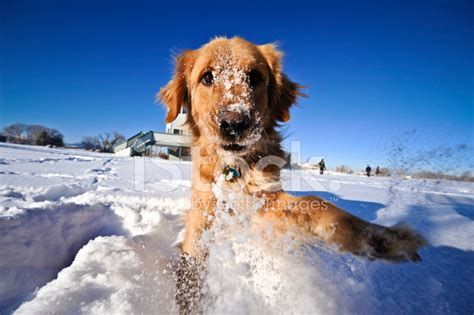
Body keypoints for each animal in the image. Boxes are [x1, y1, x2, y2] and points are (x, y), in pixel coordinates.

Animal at [158, 36, 426, 314]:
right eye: (207, 77)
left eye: (254, 76)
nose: (234, 124)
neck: (234, 169)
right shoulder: (200, 219)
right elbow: (191, 274)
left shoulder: (265, 202)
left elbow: (315, 204)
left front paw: (381, 238)